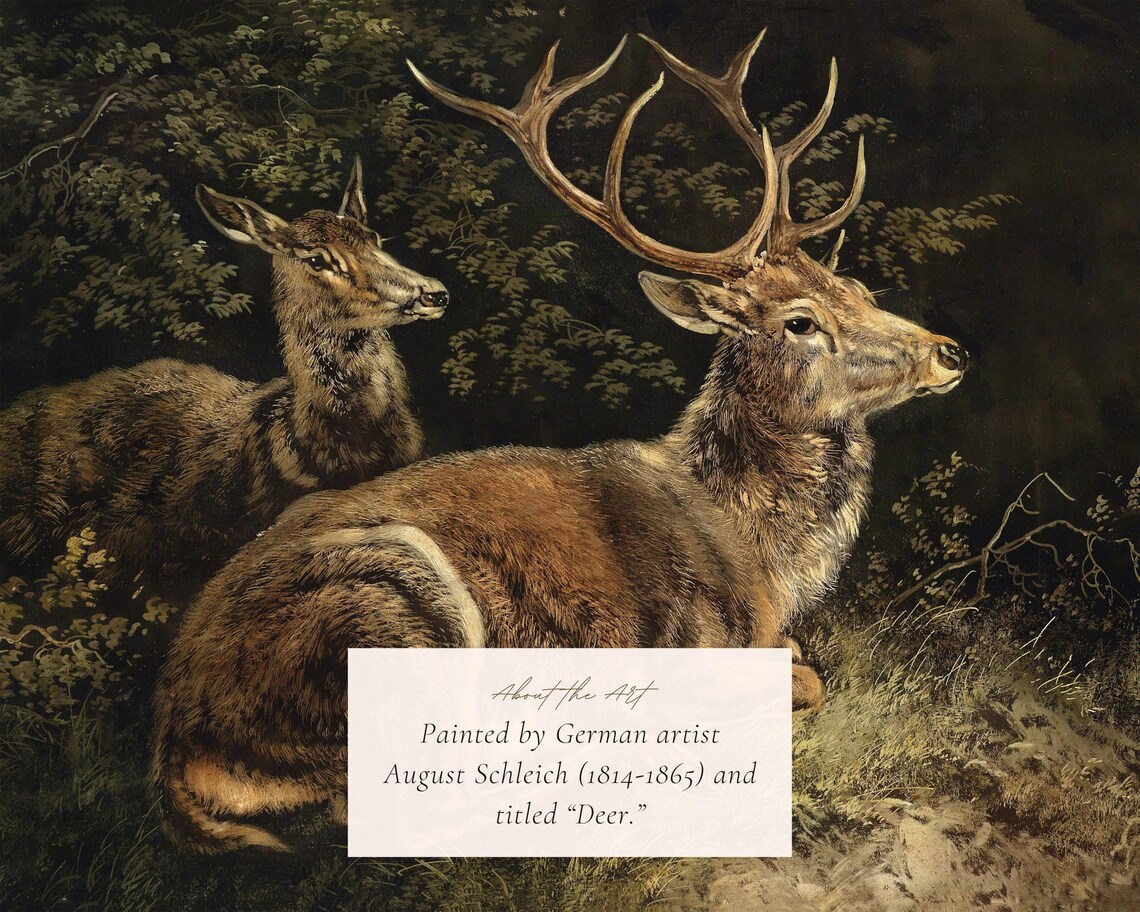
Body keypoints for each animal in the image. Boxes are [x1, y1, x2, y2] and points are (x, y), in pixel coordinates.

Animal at [151, 32, 969, 852]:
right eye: (801, 321)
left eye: (859, 289)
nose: (948, 350)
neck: (763, 556)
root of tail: (174, 755)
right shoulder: (697, 640)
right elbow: (806, 682)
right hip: (396, 599)